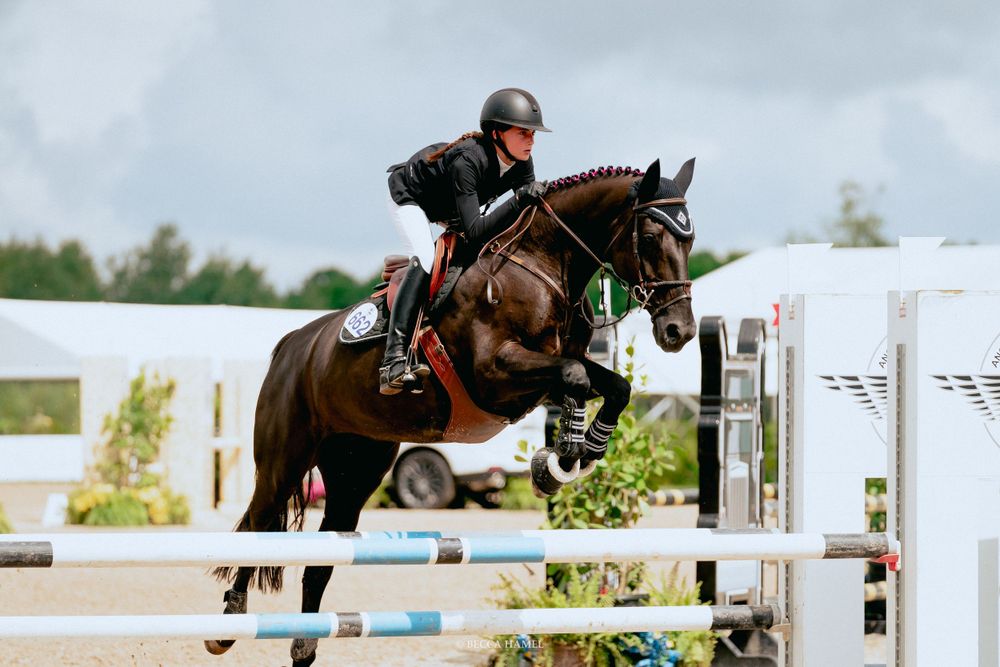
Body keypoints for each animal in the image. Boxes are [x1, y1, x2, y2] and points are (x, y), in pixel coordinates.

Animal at [206, 158, 698, 666]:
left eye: (690, 240)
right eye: (649, 238)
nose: (679, 331)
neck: (543, 264)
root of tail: (291, 344)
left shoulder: (548, 369)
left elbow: (612, 385)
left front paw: (580, 452)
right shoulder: (494, 372)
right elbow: (576, 379)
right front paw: (561, 457)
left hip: (354, 470)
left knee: (324, 554)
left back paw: (304, 643)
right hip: (284, 459)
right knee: (259, 522)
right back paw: (228, 625)